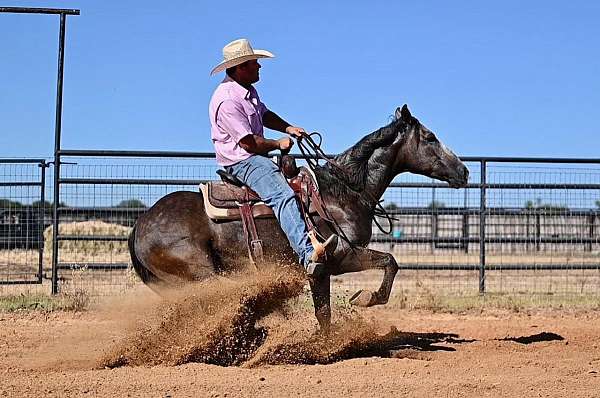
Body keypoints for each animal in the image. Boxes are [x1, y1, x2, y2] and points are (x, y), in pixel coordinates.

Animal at [130, 105, 468, 330]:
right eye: (430, 137)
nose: (463, 171)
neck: (342, 191)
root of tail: (139, 226)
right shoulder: (337, 258)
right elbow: (388, 263)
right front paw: (361, 302)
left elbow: (330, 306)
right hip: (202, 276)